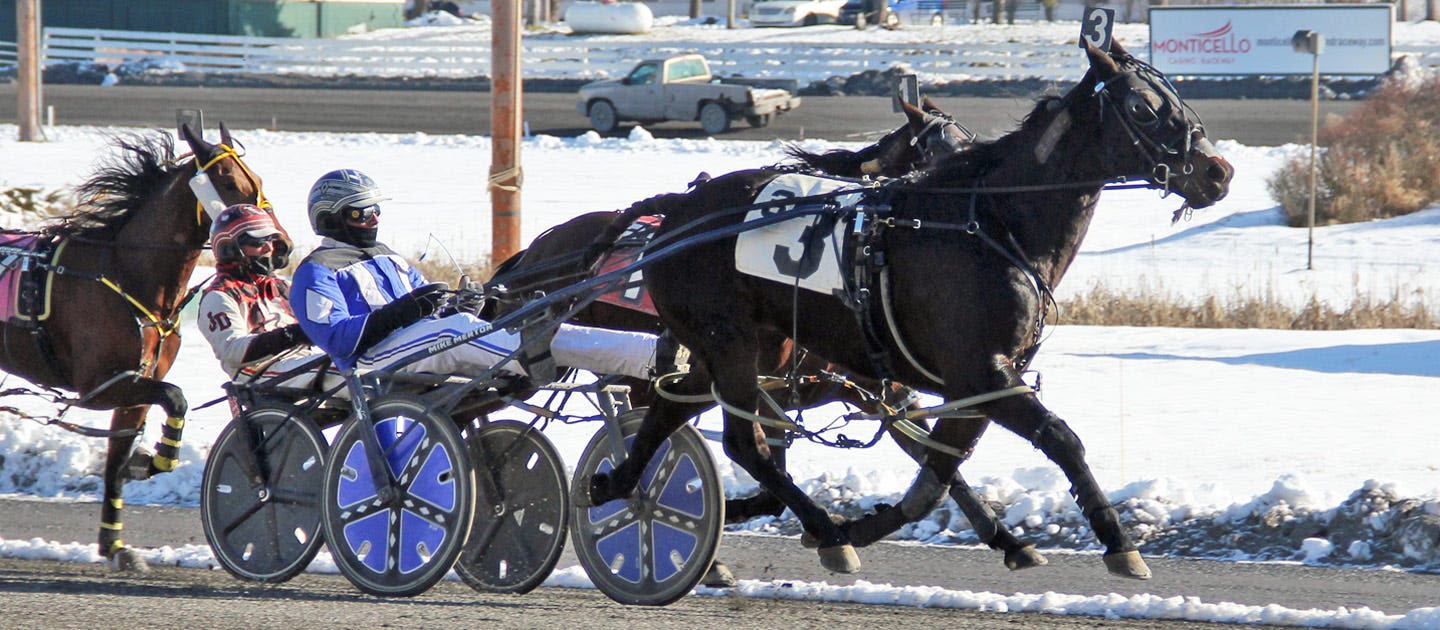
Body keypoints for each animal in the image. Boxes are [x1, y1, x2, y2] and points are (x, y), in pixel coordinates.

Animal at [0, 122, 272, 569]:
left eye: (258, 182)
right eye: (230, 183)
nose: (279, 247)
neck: (127, 275)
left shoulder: (134, 387)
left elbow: (118, 456)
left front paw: (115, 542)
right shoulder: (100, 387)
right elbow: (176, 397)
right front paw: (147, 461)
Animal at [578, 41, 1232, 578]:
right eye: (1143, 107)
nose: (1218, 171)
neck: (992, 224)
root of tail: (677, 211)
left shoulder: (975, 382)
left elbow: (936, 474)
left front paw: (884, 525)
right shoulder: (982, 371)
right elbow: (1060, 440)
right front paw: (1120, 543)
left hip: (739, 347)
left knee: (670, 406)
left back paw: (619, 484)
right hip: (729, 340)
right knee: (744, 443)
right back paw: (817, 527)